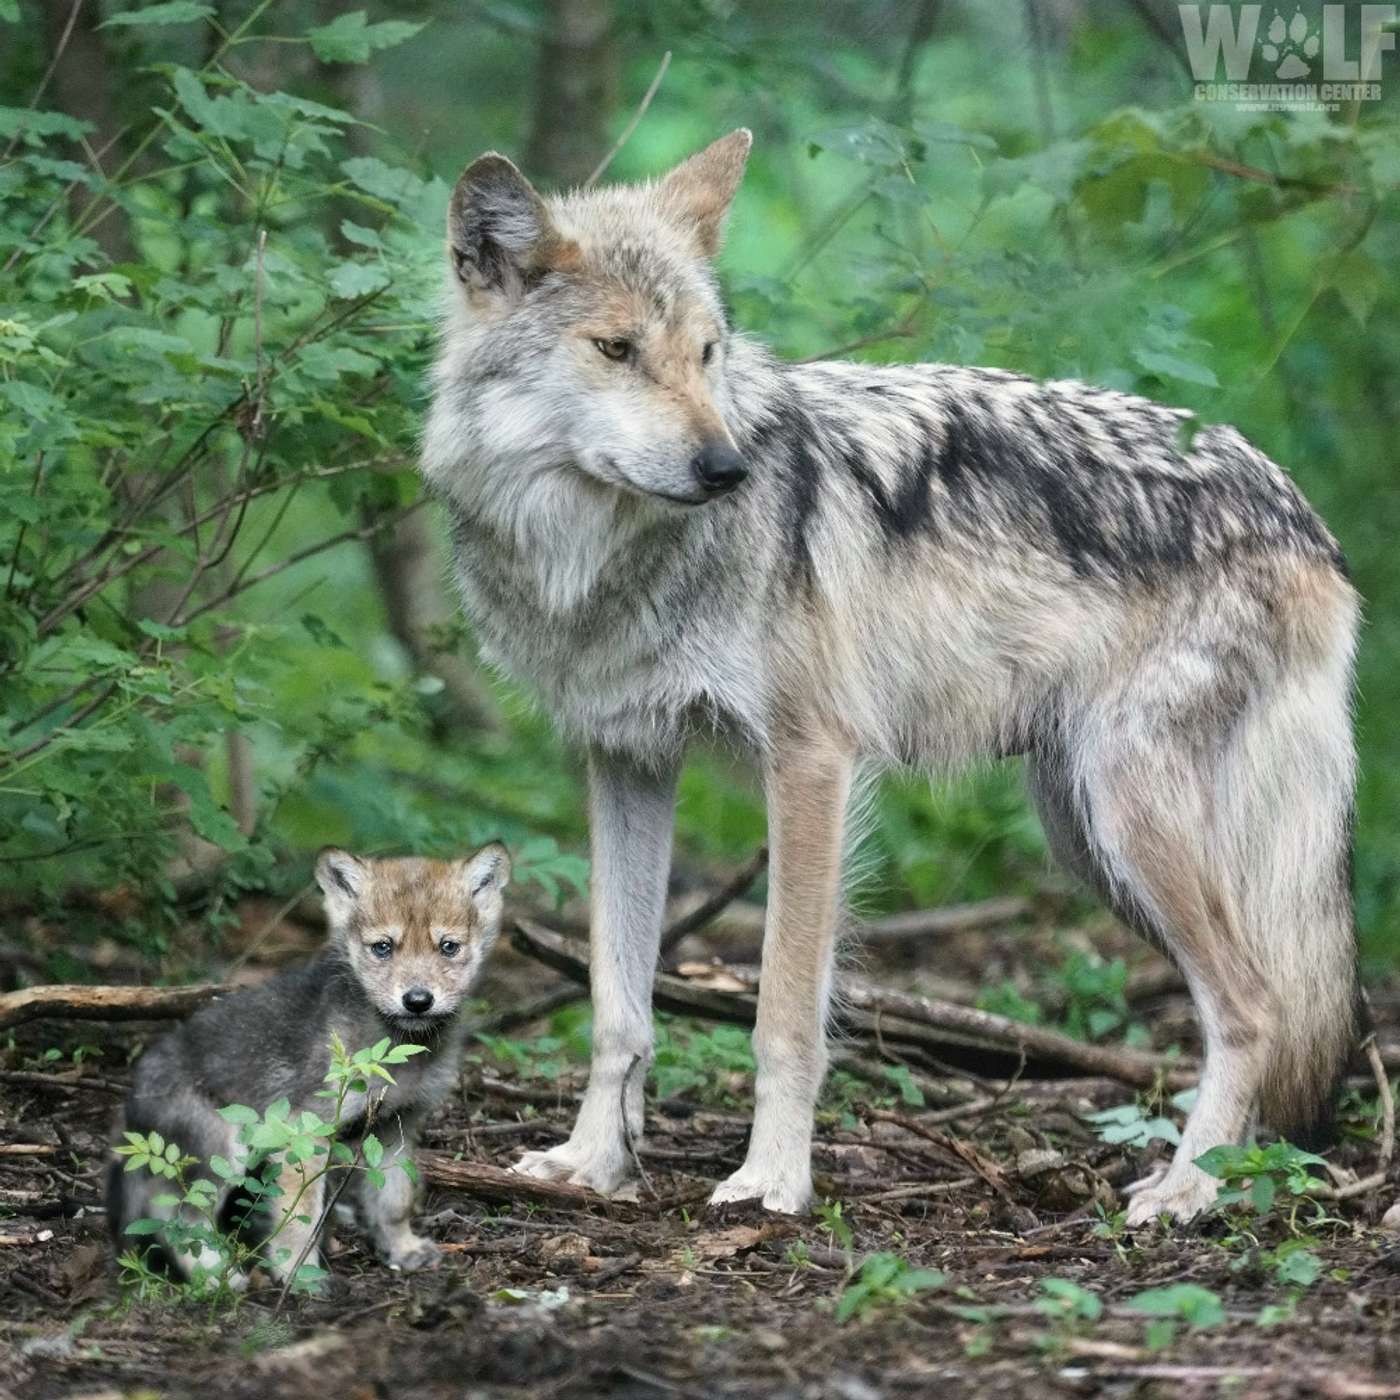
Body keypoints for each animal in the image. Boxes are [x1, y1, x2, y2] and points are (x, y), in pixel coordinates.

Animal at [108, 843, 509, 1283]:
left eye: (448, 946)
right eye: (383, 947)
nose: (418, 1000)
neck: (398, 1051)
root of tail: (134, 1094)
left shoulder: (396, 1127)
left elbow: (394, 1201)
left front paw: (402, 1249)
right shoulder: (303, 1130)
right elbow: (300, 1217)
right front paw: (300, 1278)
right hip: (223, 1150)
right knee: (176, 1215)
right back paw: (216, 1278)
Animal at [421, 129, 1360, 1226]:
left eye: (707, 352)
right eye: (615, 350)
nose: (728, 469)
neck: (595, 559)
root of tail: (1300, 511)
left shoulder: (810, 764)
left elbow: (784, 1014)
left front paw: (772, 1181)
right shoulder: (626, 763)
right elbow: (617, 1005)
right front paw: (593, 1163)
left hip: (1131, 820)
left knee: (1255, 1007)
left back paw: (1188, 1191)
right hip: (1087, 835)